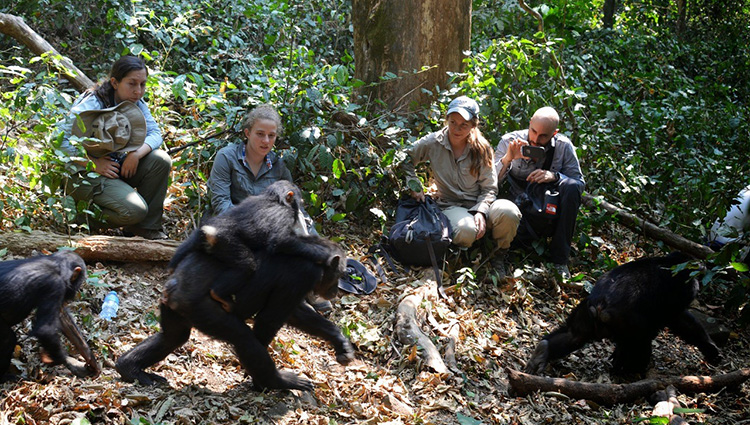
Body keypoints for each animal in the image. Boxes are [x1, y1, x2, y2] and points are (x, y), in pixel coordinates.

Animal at [116, 235, 354, 390]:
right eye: (340, 274)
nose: (336, 289)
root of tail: (172, 289)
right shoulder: (302, 275)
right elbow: (270, 319)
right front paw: (256, 381)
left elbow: (296, 313)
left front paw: (340, 342)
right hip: (201, 309)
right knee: (244, 338)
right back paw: (278, 382)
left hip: (172, 307)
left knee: (172, 337)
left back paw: (129, 368)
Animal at [170, 177, 334, 310]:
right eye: (300, 201)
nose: (300, 210)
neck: (276, 200)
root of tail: (209, 231)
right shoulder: (284, 214)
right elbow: (280, 241)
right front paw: (323, 254)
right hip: (227, 243)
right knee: (246, 266)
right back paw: (220, 295)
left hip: (200, 234)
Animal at [524, 252, 724, 374]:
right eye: (697, 281)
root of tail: (600, 305)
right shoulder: (684, 291)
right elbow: (679, 320)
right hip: (626, 321)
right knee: (642, 341)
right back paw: (633, 371)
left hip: (585, 313)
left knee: (574, 335)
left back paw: (543, 351)